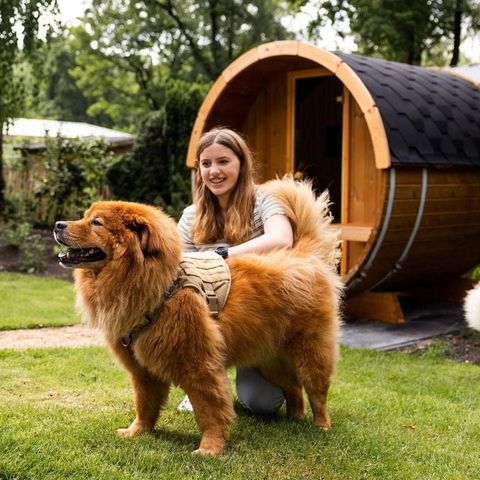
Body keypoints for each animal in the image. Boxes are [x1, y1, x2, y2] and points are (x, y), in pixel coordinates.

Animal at [54, 178, 344, 456]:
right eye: (86, 216)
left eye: (96, 222)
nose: (57, 224)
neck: (162, 287)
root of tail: (303, 256)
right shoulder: (142, 370)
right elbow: (144, 404)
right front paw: (137, 431)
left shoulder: (198, 365)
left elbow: (210, 409)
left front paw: (210, 448)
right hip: (269, 359)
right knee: (294, 388)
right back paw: (295, 419)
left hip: (310, 353)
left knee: (317, 392)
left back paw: (321, 426)